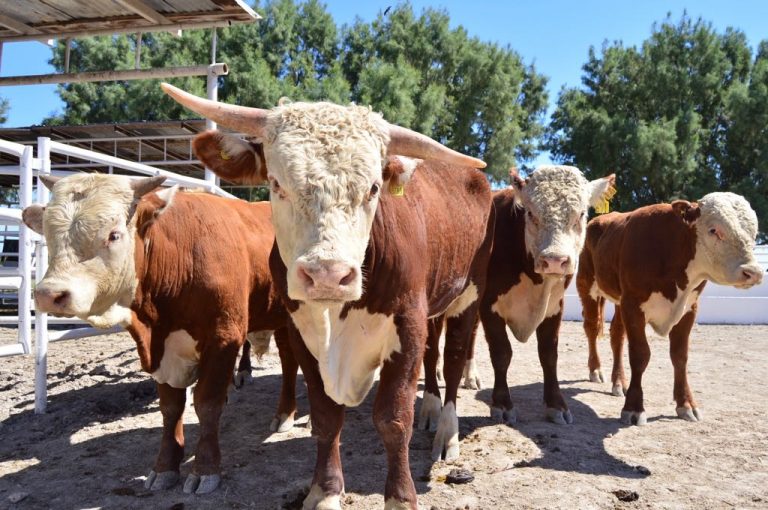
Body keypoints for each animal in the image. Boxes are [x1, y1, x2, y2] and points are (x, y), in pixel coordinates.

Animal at [21, 175, 296, 494]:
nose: (49, 295)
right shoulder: (162, 351)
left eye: (114, 235)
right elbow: (170, 408)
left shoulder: (224, 338)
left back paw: (284, 414)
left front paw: (205, 468)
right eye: (49, 234)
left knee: (289, 363)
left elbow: (207, 403)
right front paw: (165, 466)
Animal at [164, 81, 496, 508]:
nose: (327, 275)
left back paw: (446, 433)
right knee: (433, 354)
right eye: (276, 184)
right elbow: (325, 418)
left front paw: (400, 496)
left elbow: (393, 419)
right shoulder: (302, 334)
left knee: (453, 359)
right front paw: (325, 491)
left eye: (373, 188)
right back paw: (432, 410)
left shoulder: (407, 326)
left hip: (469, 293)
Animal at [580, 191, 764, 422]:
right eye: (714, 230)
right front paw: (634, 407)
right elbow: (640, 354)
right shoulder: (633, 306)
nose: (753, 272)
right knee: (592, 327)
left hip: (619, 301)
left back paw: (619, 382)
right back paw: (595, 370)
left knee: (617, 335)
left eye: (754, 232)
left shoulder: (688, 309)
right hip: (587, 285)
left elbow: (680, 356)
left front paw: (685, 404)